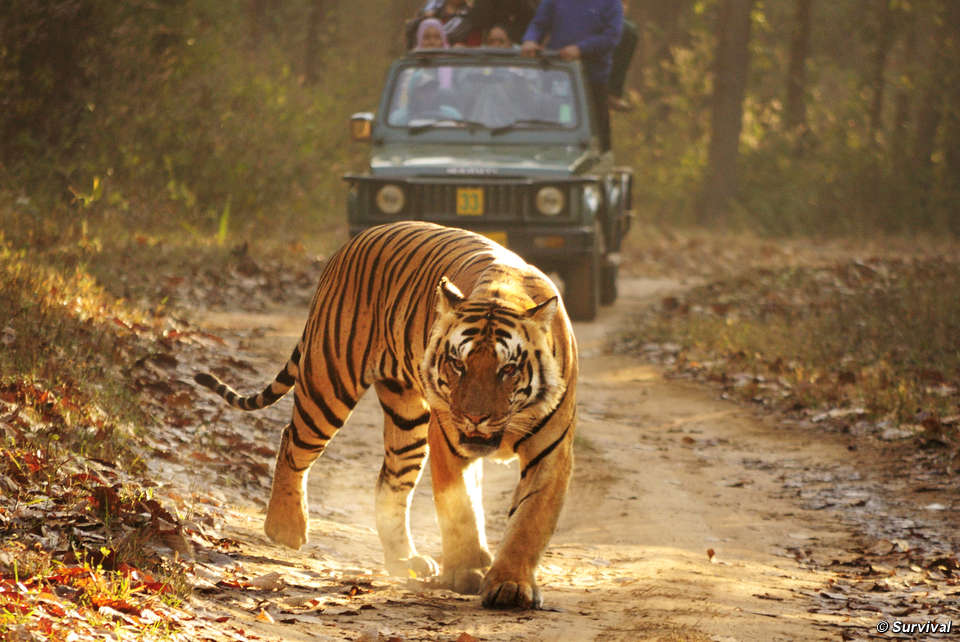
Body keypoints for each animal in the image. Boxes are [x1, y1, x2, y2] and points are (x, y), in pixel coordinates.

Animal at [191, 220, 572, 604]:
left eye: (507, 369)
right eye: (457, 364)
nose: (474, 417)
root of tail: (352, 242)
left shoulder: (550, 451)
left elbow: (530, 520)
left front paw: (510, 585)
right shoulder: (449, 440)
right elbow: (459, 508)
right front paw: (467, 573)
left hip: (407, 420)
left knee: (390, 482)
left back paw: (403, 560)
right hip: (329, 382)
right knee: (292, 442)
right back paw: (286, 528)